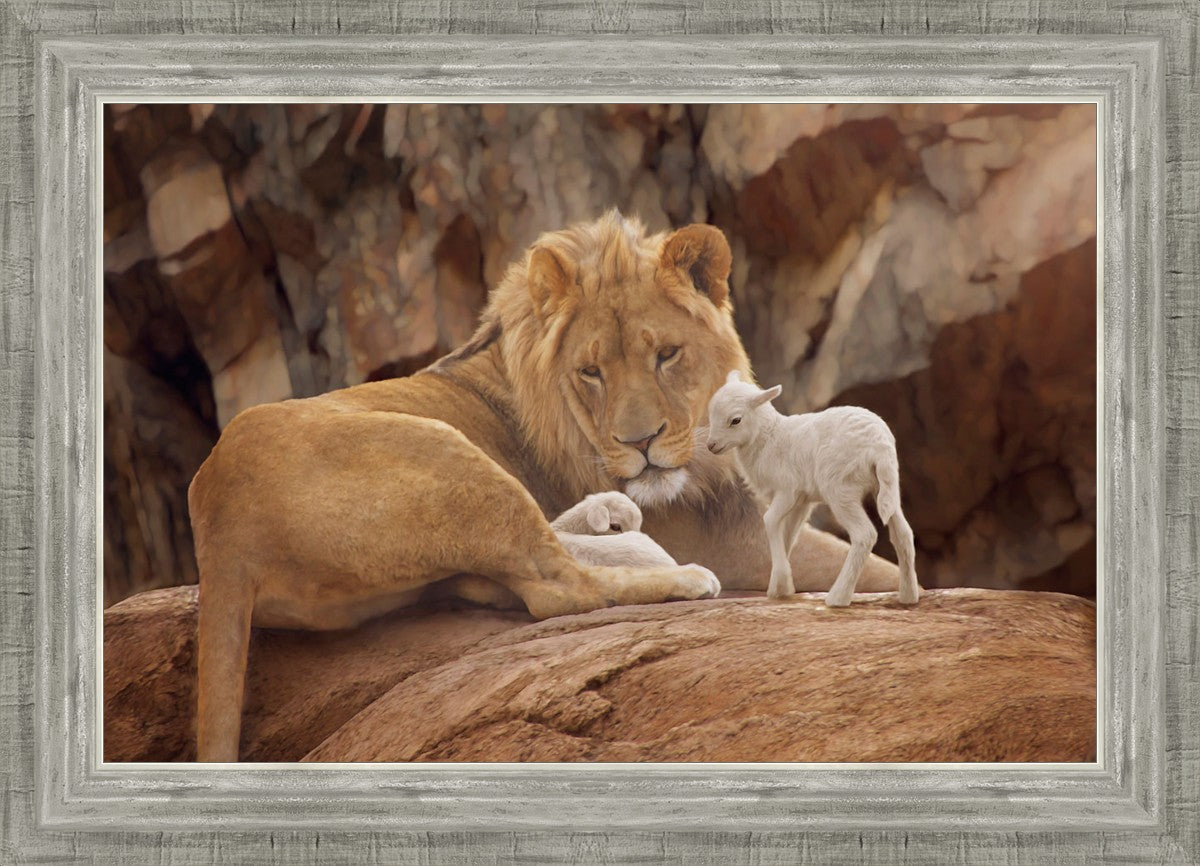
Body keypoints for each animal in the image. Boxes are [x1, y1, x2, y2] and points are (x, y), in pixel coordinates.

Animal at [705, 371, 920, 607]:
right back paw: (908, 596)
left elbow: (770, 521)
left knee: (865, 535)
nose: (711, 445)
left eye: (735, 420)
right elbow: (788, 534)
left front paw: (781, 583)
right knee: (903, 533)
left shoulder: (787, 490)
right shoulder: (802, 501)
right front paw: (780, 587)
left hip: (840, 489)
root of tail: (879, 445)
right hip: (887, 486)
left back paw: (838, 597)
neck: (769, 438)